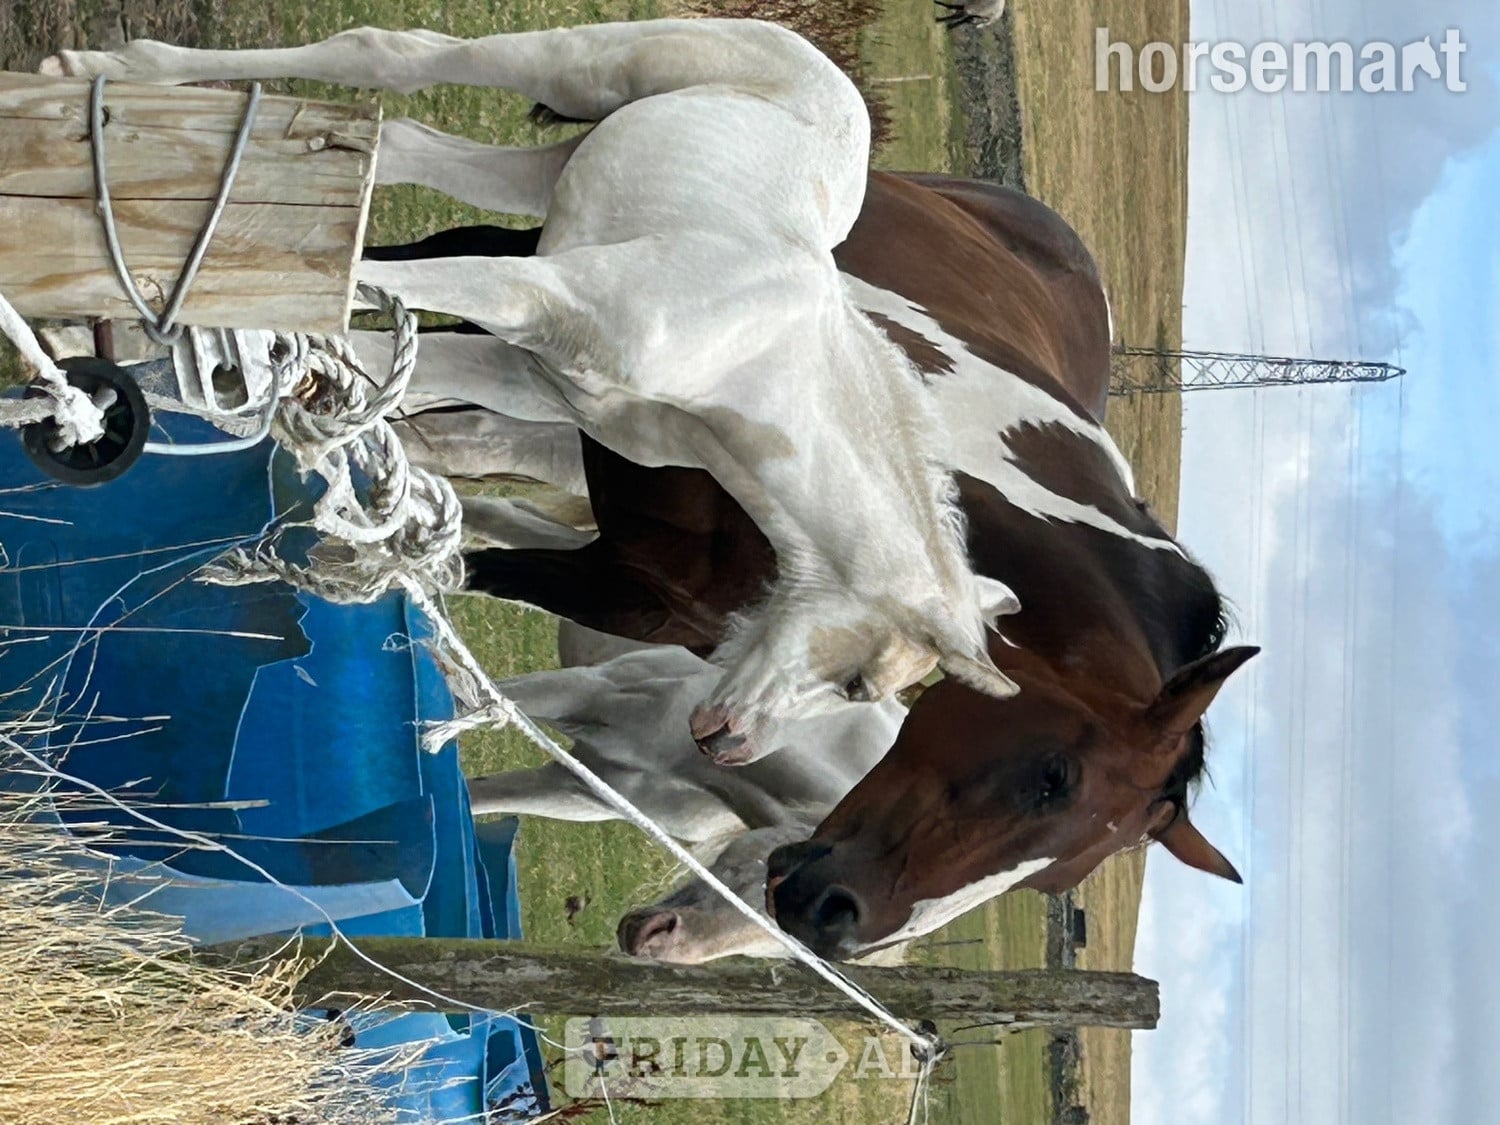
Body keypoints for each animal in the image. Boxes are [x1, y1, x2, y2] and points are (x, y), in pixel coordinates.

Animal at [45, 18, 1019, 762]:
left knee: (408, 142)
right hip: (582, 66)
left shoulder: (527, 368)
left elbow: (382, 351)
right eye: (860, 682)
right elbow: (359, 284)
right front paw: (96, 339)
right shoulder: (532, 294)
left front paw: (129, 369)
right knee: (394, 55)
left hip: (552, 167)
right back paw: (97, 75)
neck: (743, 357)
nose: (727, 745)